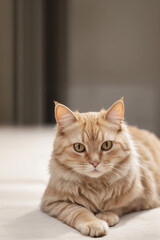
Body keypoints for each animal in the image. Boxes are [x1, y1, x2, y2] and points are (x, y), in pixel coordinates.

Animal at [41, 97, 160, 236]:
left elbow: (117, 205)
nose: (95, 163)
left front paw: (105, 215)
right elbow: (78, 211)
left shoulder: (141, 198)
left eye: (106, 145)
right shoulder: (53, 202)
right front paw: (94, 223)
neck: (96, 185)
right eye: (79, 147)